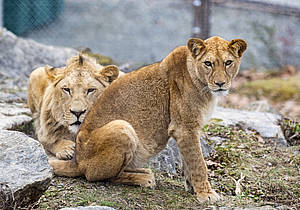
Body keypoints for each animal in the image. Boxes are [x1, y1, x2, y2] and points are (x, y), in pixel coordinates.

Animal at [49, 37, 246, 203]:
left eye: (228, 63)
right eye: (208, 63)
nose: (220, 84)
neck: (203, 86)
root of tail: (76, 160)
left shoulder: (186, 131)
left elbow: (189, 160)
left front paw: (192, 188)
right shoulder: (184, 128)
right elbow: (199, 163)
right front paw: (206, 194)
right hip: (122, 128)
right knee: (98, 176)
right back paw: (144, 178)